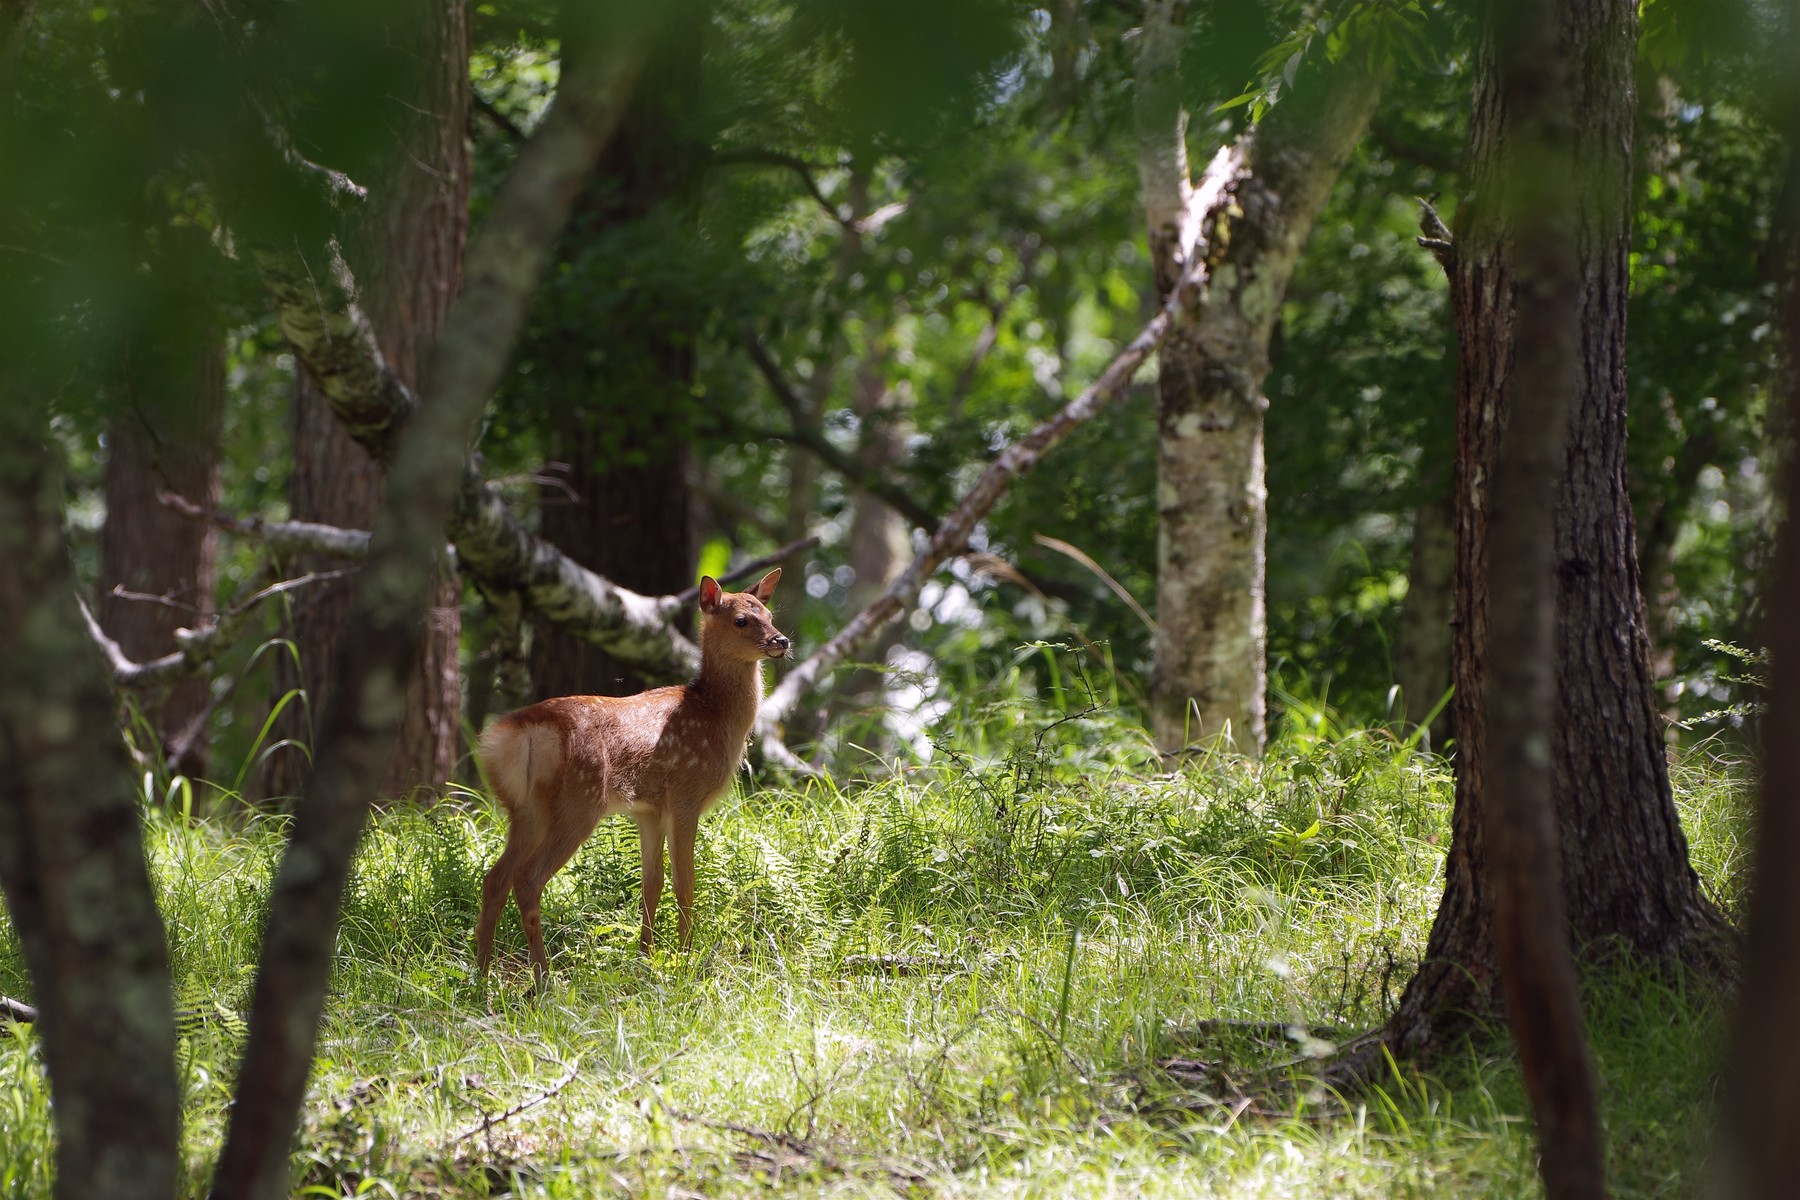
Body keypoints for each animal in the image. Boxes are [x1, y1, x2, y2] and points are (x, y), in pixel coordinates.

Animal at [475, 572, 792, 985]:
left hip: (524, 809)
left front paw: (645, 960)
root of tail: (521, 730)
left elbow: (651, 883)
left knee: (495, 878)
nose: (781, 641)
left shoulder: (648, 810)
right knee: (528, 878)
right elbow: (685, 881)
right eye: (741, 620)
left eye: (770, 615)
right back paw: (544, 979)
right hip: (580, 800)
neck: (716, 716)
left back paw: (480, 977)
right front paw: (687, 960)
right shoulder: (685, 795)